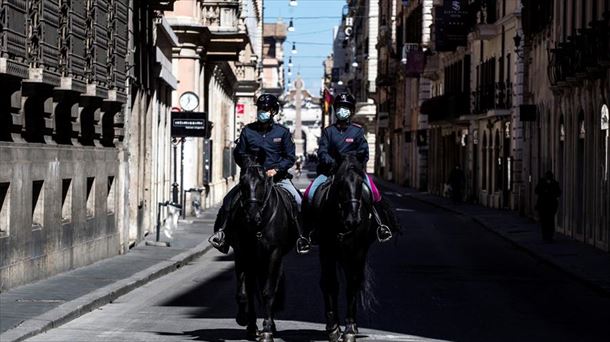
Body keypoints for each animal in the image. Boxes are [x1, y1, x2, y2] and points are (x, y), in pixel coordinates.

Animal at [223, 158, 300, 342]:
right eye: (242, 182)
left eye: (262, 182)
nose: (252, 216)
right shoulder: (242, 253)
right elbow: (244, 292)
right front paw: (244, 319)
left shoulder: (274, 253)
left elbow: (268, 292)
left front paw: (266, 330)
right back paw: (252, 326)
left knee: (272, 287)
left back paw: (270, 326)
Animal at [316, 155, 378, 342]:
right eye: (341, 183)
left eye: (360, 182)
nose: (353, 219)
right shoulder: (327, 251)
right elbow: (330, 284)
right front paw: (333, 328)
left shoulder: (358, 252)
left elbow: (352, 285)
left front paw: (350, 328)